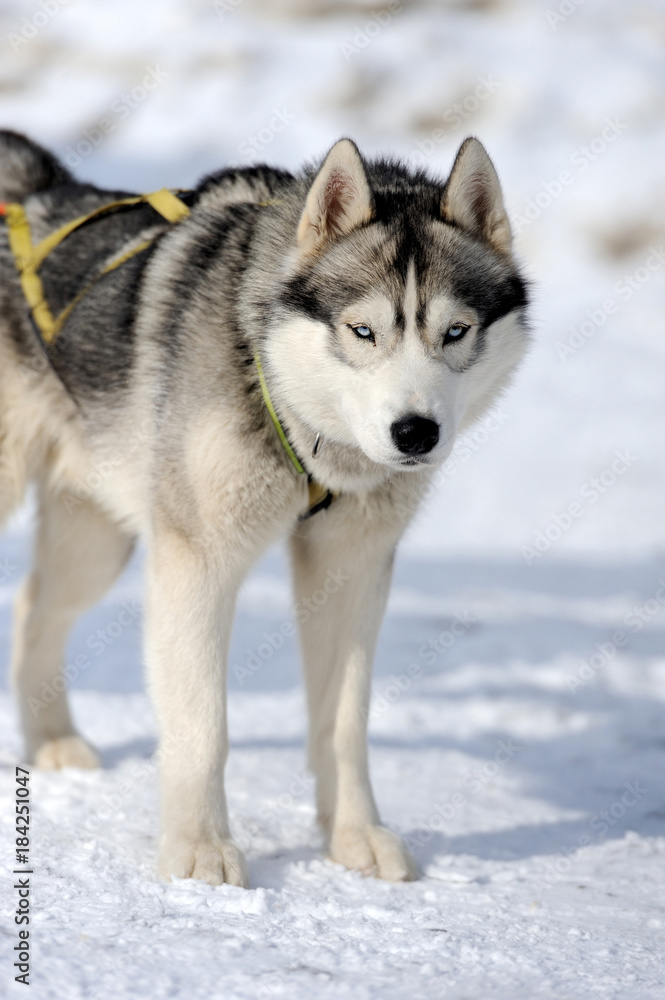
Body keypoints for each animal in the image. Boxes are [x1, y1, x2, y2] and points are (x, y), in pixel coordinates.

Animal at [1, 129, 528, 888]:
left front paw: (354, 836)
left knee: (35, 605)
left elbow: (343, 722)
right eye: (362, 331)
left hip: (97, 544)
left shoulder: (350, 568)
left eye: (455, 332)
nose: (415, 433)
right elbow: (203, 724)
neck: (278, 388)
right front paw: (199, 848)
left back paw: (54, 741)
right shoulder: (197, 562)